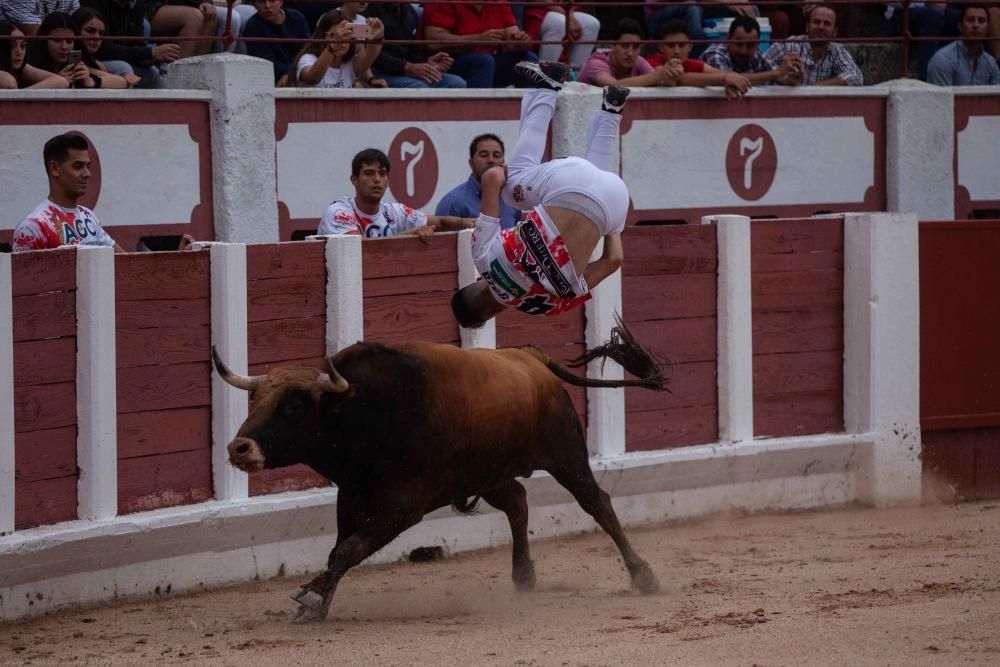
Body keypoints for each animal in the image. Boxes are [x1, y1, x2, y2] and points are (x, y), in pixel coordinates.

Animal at [217, 320, 672, 624]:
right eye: (255, 400)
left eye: (294, 406)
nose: (239, 447)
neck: (365, 412)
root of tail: (530, 357)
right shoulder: (351, 495)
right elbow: (339, 549)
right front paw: (319, 602)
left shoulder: (405, 506)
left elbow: (350, 548)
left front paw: (312, 599)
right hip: (486, 473)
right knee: (518, 501)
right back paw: (524, 576)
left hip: (566, 455)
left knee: (597, 503)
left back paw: (644, 576)